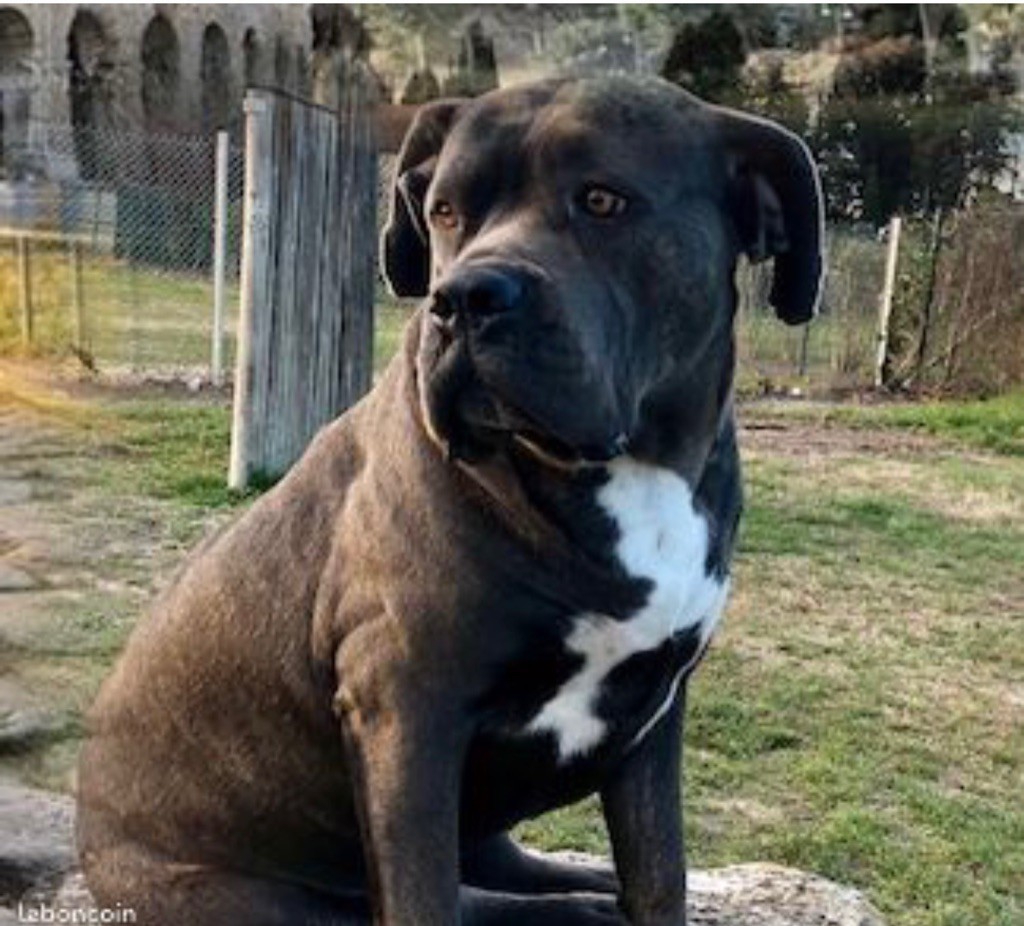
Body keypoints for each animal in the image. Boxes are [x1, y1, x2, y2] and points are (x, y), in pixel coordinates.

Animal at [76, 75, 823, 926]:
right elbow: (426, 895)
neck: (630, 470)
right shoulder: (407, 710)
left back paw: (586, 889)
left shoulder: (653, 715)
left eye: (603, 200)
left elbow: (661, 871)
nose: (462, 295)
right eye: (444, 211)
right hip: (255, 897)